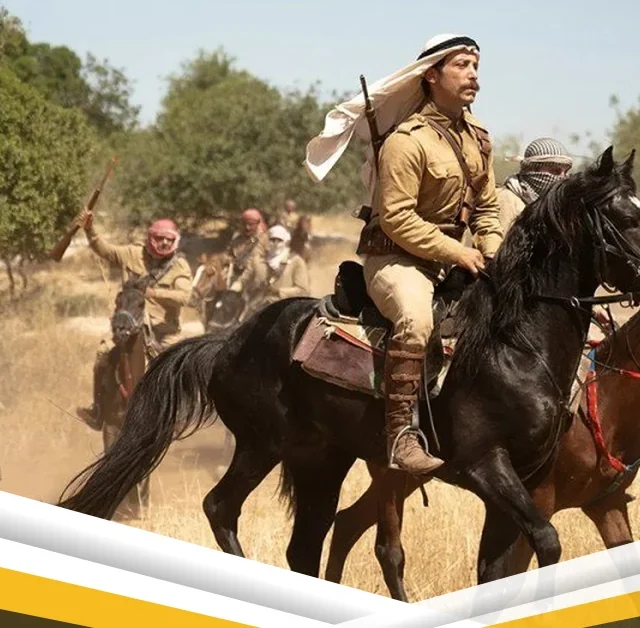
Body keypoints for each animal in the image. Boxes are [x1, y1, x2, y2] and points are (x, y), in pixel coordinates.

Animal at [324, 304, 640, 586]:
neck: (604, 404)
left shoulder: (606, 506)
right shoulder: (534, 503)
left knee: (347, 523)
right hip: (389, 472)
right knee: (385, 548)